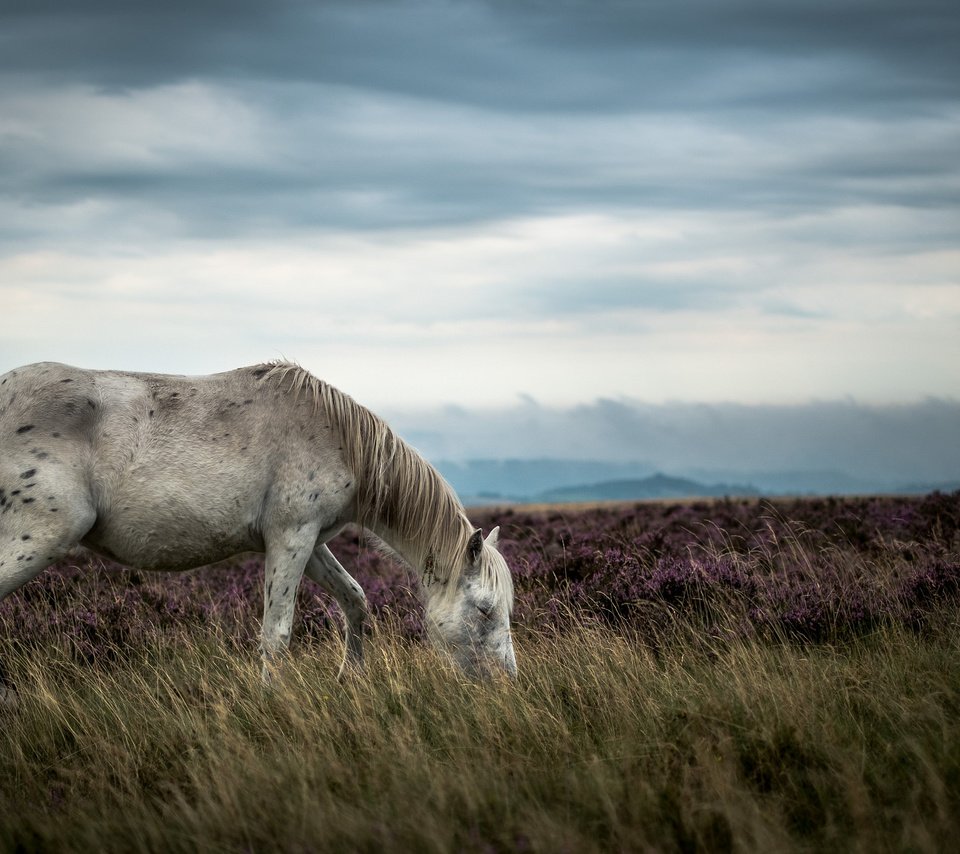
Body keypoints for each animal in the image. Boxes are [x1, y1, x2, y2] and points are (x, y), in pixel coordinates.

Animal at [0, 360, 516, 696]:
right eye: (485, 609)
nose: (509, 683)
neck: (339, 438)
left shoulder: (310, 541)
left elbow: (356, 600)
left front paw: (351, 679)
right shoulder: (290, 538)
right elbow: (277, 633)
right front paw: (273, 700)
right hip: (37, 540)